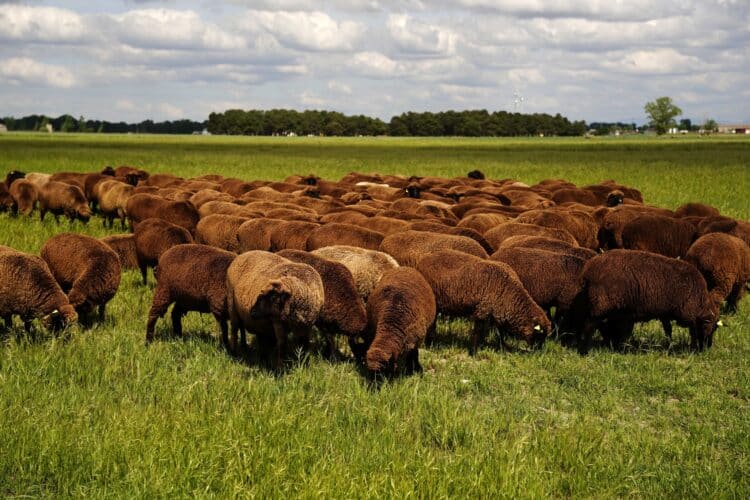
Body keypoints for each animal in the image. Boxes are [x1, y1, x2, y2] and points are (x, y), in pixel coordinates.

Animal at [416, 250, 550, 353]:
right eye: (539, 335)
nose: (539, 353)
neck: (508, 291)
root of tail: (422, 260)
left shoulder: (496, 311)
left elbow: (499, 332)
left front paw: (501, 347)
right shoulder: (482, 309)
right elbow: (478, 332)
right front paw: (474, 352)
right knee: (432, 323)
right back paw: (430, 344)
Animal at [572, 250, 718, 353]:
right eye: (710, 327)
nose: (708, 347)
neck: (698, 299)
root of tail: (588, 270)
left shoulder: (664, 312)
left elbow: (668, 330)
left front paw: (669, 344)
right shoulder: (689, 315)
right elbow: (692, 332)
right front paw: (692, 349)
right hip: (600, 304)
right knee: (589, 325)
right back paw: (585, 350)